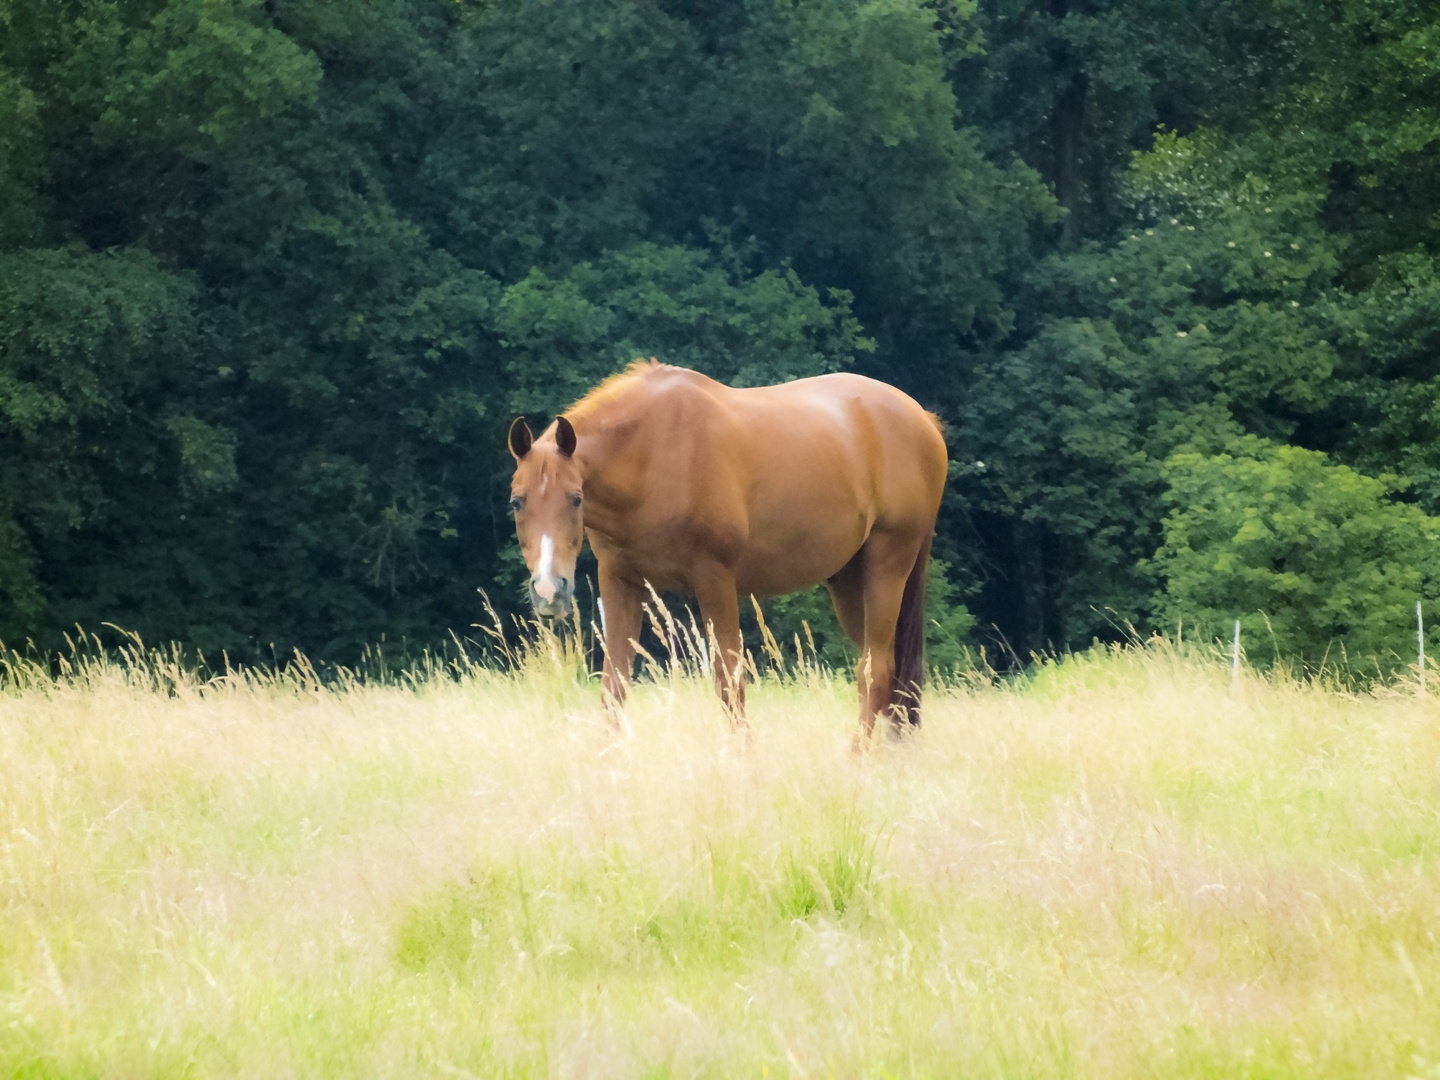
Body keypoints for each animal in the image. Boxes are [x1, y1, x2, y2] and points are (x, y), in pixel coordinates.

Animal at [504, 360, 944, 743]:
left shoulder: (714, 579)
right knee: (892, 677)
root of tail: (924, 420)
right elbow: (615, 684)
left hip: (887, 569)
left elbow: (728, 681)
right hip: (850, 583)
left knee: (875, 671)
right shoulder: (620, 581)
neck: (654, 452)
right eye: (517, 502)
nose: (548, 590)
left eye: (576, 499)